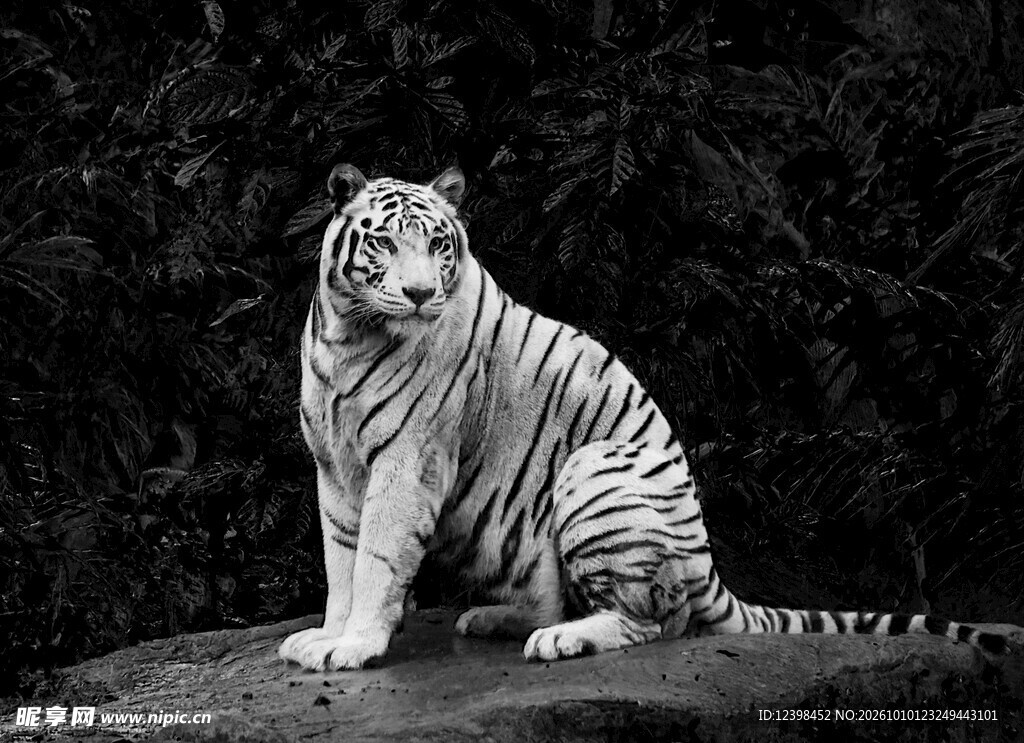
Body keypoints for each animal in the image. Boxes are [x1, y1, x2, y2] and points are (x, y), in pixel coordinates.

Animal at [278, 164, 1013, 671]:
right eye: (384, 245)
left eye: (438, 246)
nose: (421, 292)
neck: (350, 334)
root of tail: (710, 565)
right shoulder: (334, 468)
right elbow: (340, 559)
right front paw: (328, 633)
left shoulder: (407, 461)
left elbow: (375, 558)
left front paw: (355, 646)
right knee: (561, 594)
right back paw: (493, 619)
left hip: (591, 469)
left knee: (652, 619)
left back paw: (559, 639)